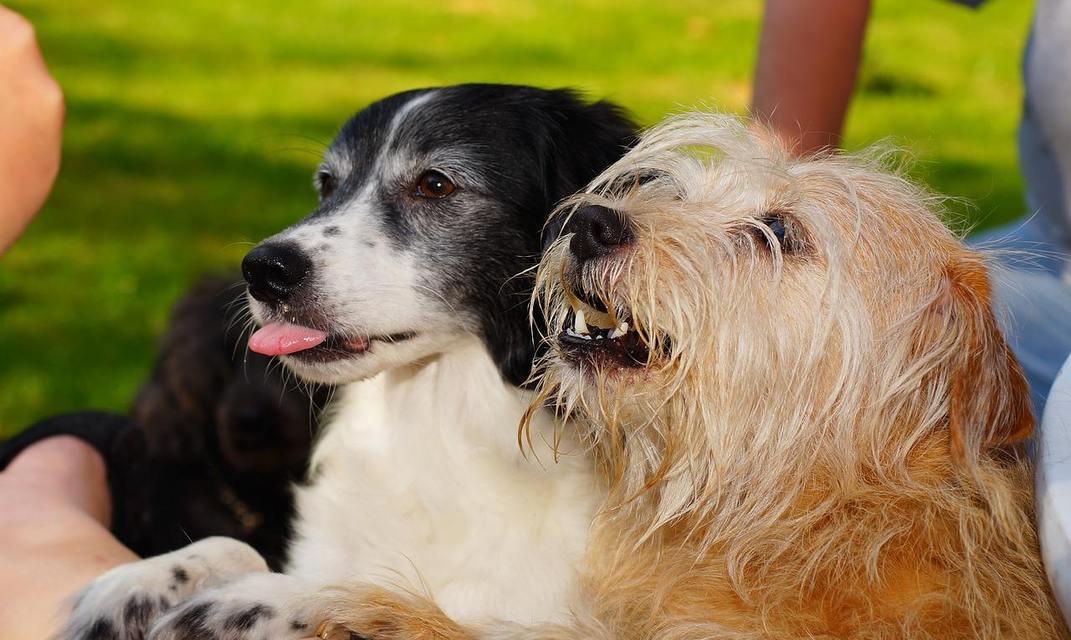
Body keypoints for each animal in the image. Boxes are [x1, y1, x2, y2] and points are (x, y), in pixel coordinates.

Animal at [62, 86, 634, 640]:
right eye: (326, 184)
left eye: (436, 184)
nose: (263, 271)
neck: (436, 424)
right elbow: (235, 545)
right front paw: (134, 584)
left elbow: (384, 600)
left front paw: (254, 604)